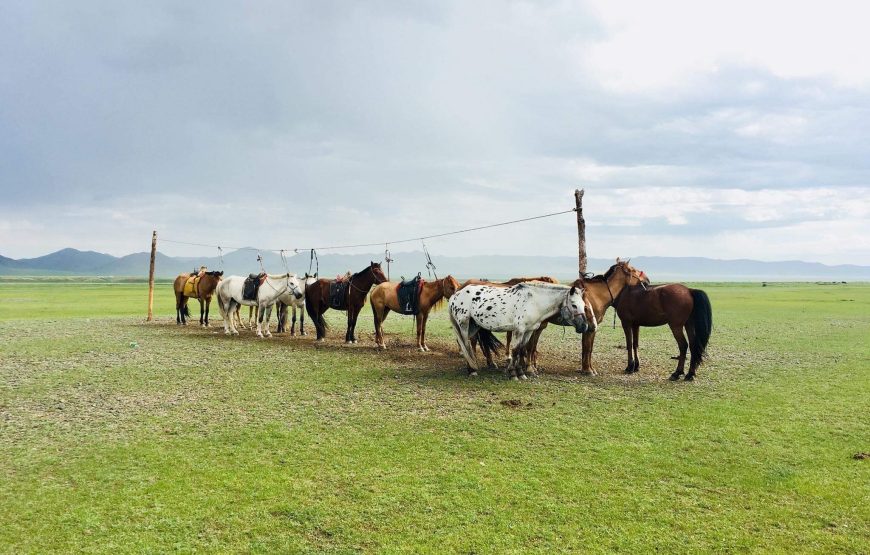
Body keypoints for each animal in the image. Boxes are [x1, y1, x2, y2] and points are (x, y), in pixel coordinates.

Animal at [450, 280, 592, 380]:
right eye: (574, 305)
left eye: (584, 305)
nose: (584, 326)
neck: (533, 301)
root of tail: (455, 295)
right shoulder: (519, 330)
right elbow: (515, 350)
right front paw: (513, 374)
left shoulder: (528, 331)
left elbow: (522, 349)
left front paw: (521, 373)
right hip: (463, 324)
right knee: (465, 344)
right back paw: (472, 371)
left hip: (473, 326)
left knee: (468, 344)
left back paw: (472, 368)